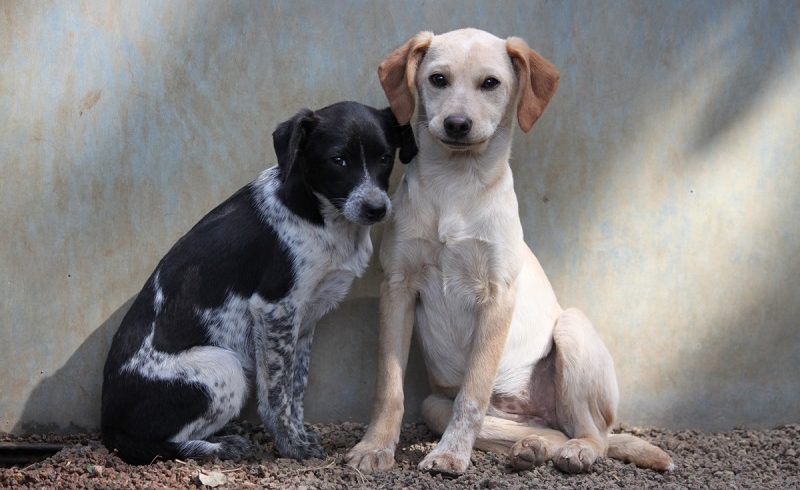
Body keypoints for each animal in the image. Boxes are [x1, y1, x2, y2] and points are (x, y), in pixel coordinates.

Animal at [102, 100, 416, 464]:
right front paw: (292, 446)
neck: (322, 215)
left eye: (385, 157)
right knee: (150, 444)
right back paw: (219, 446)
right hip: (223, 366)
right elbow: (277, 396)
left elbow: (296, 388)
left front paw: (299, 433)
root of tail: (107, 425)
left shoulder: (304, 320)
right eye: (338, 160)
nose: (376, 209)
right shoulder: (274, 308)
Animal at [346, 29, 676, 474]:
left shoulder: (497, 294)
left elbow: (472, 394)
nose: (457, 124)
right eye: (437, 79)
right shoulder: (397, 286)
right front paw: (375, 447)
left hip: (571, 330)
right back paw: (532, 447)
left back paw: (577, 452)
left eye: (491, 83)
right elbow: (389, 387)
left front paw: (450, 454)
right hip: (435, 403)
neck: (456, 183)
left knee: (595, 435)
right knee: (547, 429)